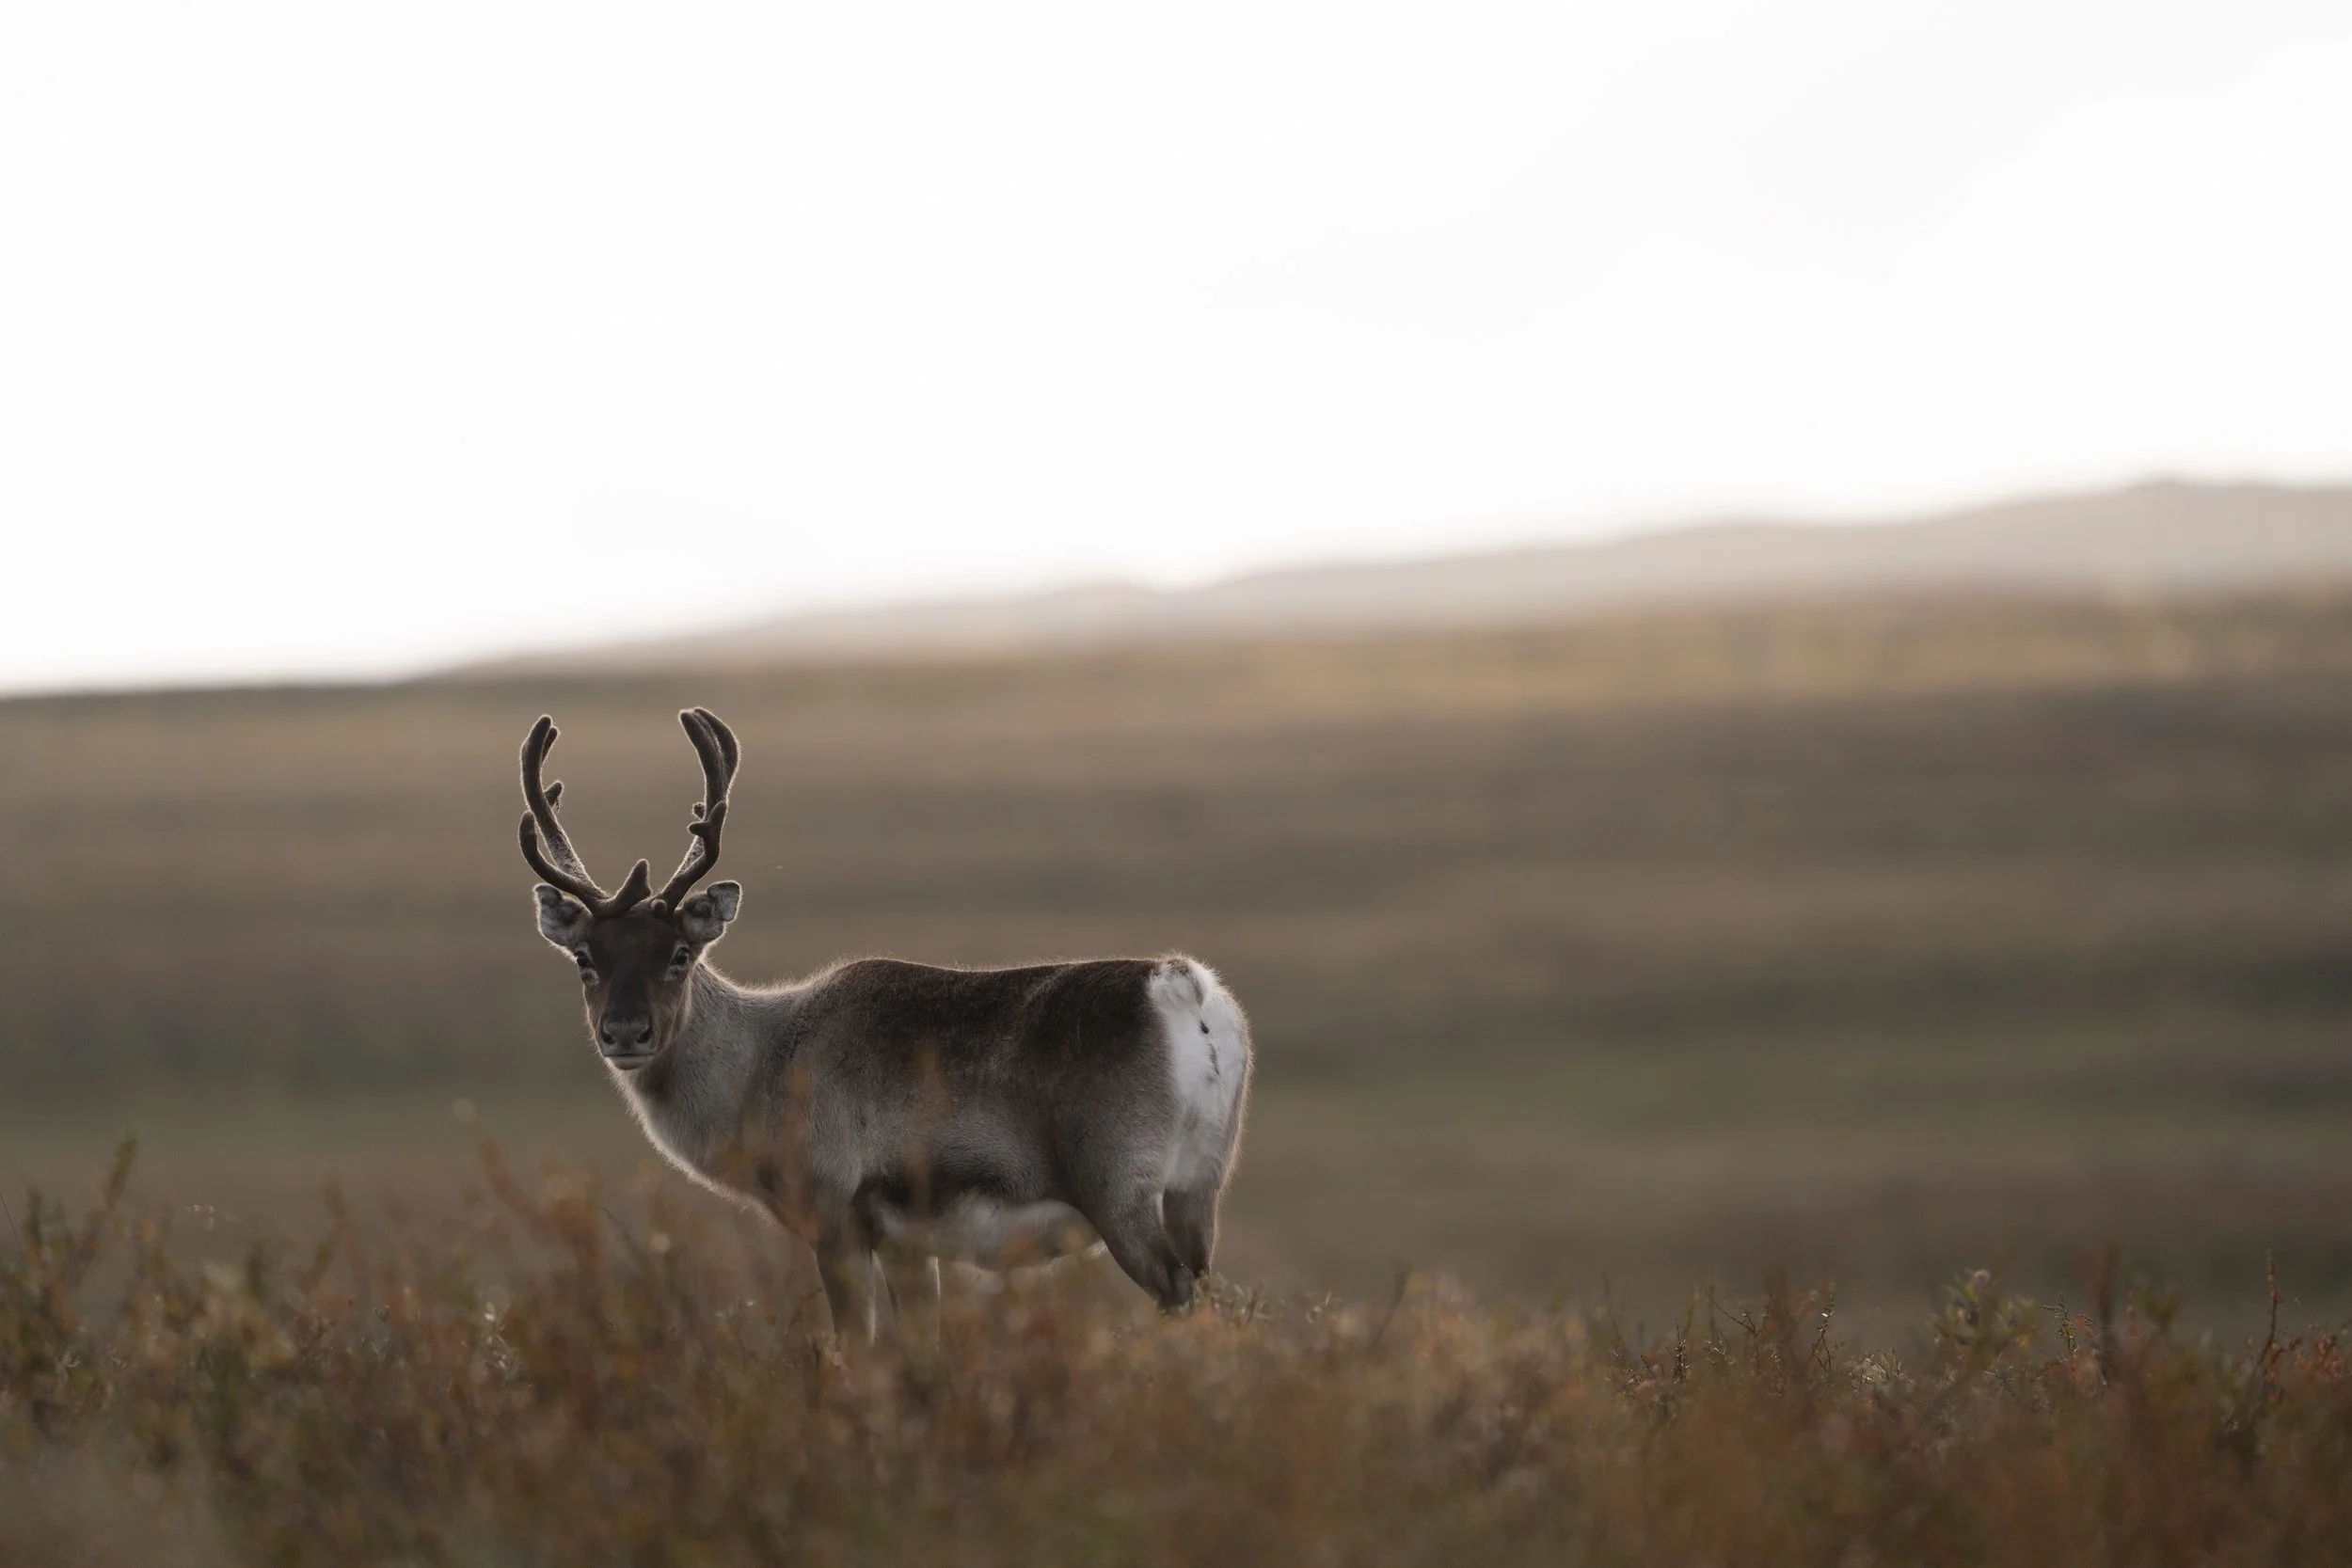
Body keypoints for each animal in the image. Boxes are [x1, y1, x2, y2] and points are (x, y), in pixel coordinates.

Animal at [519, 708, 1252, 1342]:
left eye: (679, 954)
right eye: (586, 957)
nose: (625, 1032)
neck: (761, 1068)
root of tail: (1183, 986)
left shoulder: (836, 1223)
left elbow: (859, 1349)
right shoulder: (909, 1247)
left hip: (1119, 1193)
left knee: (1179, 1293)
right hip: (1199, 1188)